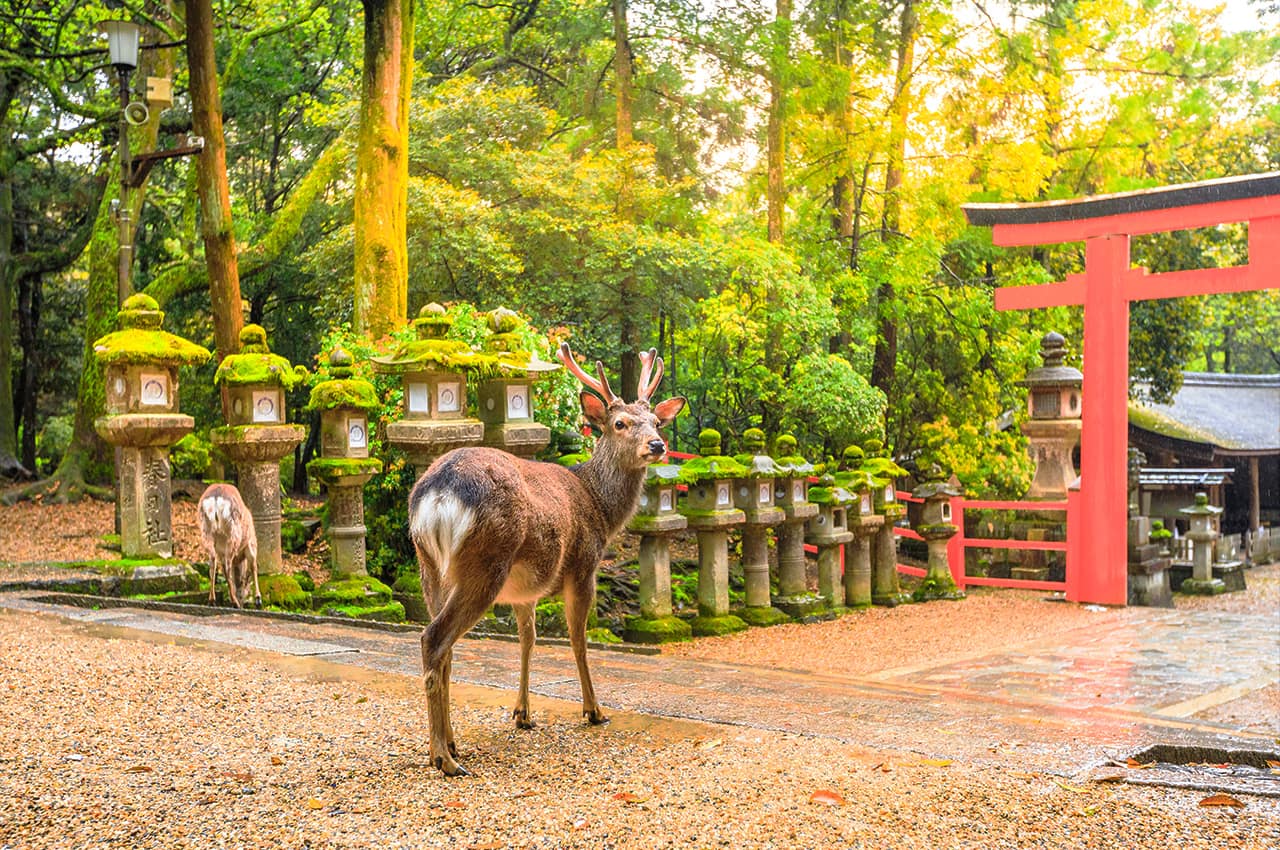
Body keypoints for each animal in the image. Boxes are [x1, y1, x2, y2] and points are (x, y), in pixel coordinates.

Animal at [412, 343, 691, 773]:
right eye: (620, 423)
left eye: (656, 422)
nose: (657, 446)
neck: (600, 507)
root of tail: (439, 493)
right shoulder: (584, 565)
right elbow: (577, 640)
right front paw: (594, 710)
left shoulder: (524, 590)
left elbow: (528, 640)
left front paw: (522, 714)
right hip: (486, 561)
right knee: (434, 638)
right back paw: (444, 757)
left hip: (430, 565)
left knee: (446, 649)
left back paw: (450, 745)